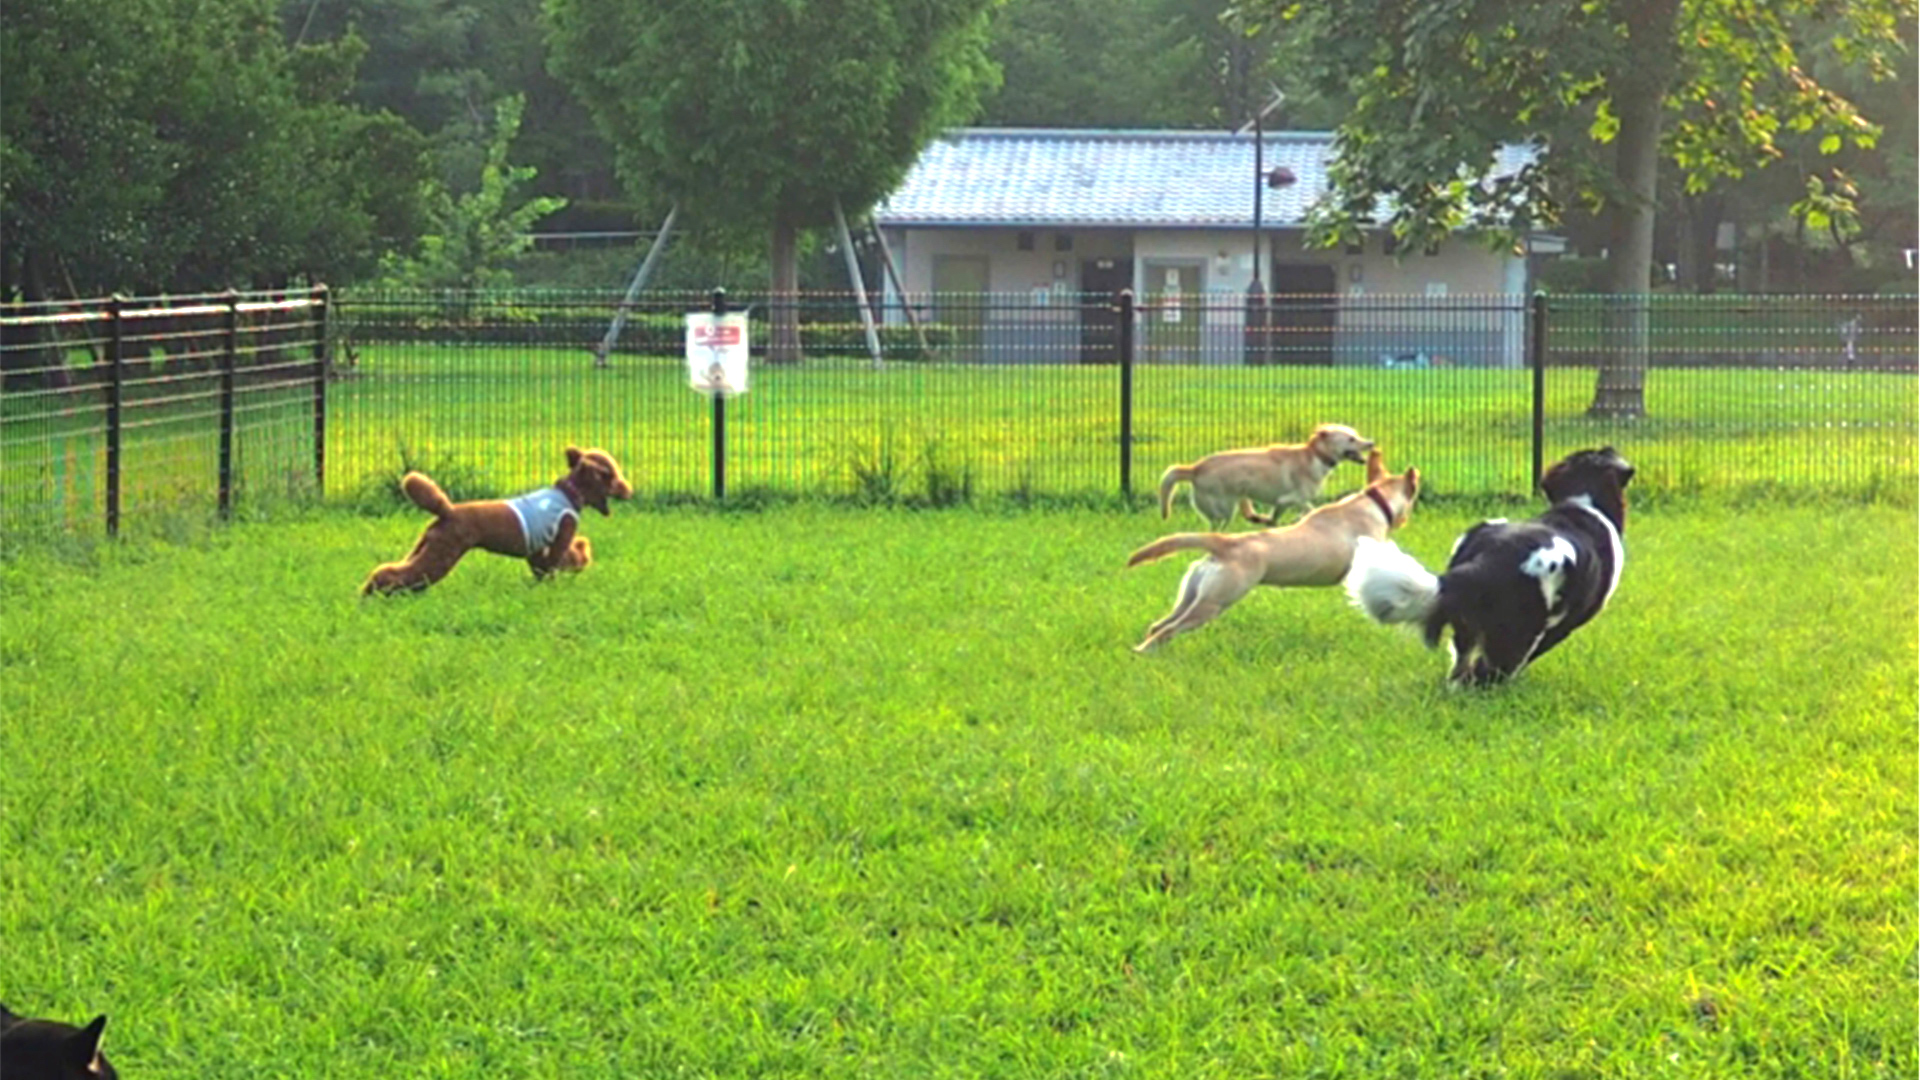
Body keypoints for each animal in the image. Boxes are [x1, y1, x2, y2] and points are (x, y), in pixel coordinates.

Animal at [359, 445, 629, 595]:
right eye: (612, 476)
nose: (629, 490)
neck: (569, 493)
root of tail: (447, 510)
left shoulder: (537, 549)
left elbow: (543, 566)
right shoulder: (563, 532)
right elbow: (558, 561)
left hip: (426, 546)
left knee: (396, 570)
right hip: (443, 553)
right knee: (401, 575)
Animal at [1121, 445, 1413, 645]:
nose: (1405, 521)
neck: (1372, 503)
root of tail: (1224, 543)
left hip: (1193, 594)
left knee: (1159, 626)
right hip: (1216, 600)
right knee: (1167, 631)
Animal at [1152, 424, 1382, 534]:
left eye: (1356, 435)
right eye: (1351, 439)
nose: (1371, 443)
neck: (1316, 455)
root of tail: (1195, 469)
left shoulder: (1281, 503)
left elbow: (1276, 518)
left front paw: (1277, 524)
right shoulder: (1294, 498)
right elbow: (1310, 509)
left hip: (1239, 498)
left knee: (1240, 516)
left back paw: (1256, 519)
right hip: (1224, 509)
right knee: (1216, 526)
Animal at [1336, 443, 1635, 680]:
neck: (1582, 504)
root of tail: (1488, 559)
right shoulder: (1565, 624)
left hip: (1467, 627)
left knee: (1461, 669)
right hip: (1518, 632)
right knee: (1485, 673)